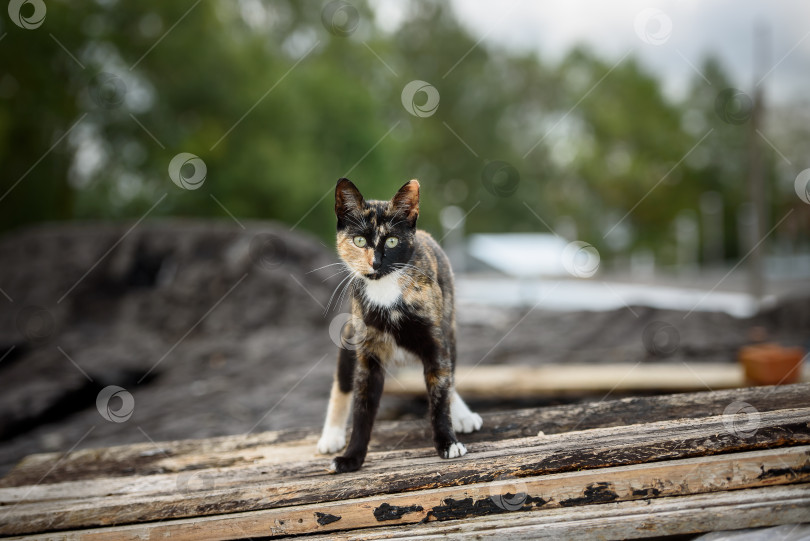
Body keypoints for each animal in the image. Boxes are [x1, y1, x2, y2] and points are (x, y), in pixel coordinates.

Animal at [316, 178, 480, 472]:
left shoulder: (435, 342)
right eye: (359, 241)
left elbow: (440, 394)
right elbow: (362, 407)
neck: (386, 290)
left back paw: (462, 414)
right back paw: (331, 436)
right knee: (342, 382)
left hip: (449, 328)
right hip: (349, 334)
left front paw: (447, 442)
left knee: (449, 374)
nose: (375, 262)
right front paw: (351, 457)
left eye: (392, 241)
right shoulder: (367, 353)